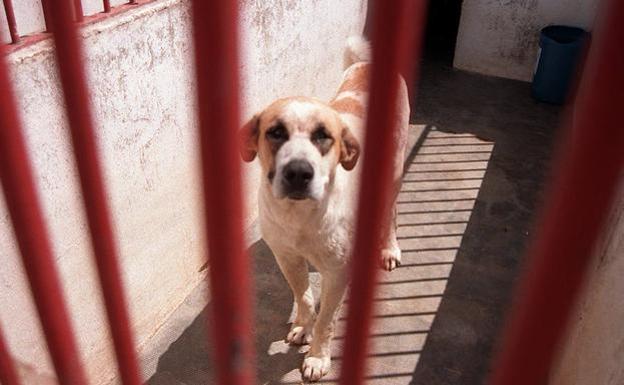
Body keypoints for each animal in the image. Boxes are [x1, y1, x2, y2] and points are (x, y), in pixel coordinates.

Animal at [240, 36, 410, 380]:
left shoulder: (336, 272)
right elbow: (304, 298)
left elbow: (327, 321)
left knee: (391, 212)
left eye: (323, 136)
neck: (300, 216)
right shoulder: (287, 258)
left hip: (395, 172)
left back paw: (388, 248)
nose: (298, 173)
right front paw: (303, 327)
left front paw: (318, 357)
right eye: (275, 132)